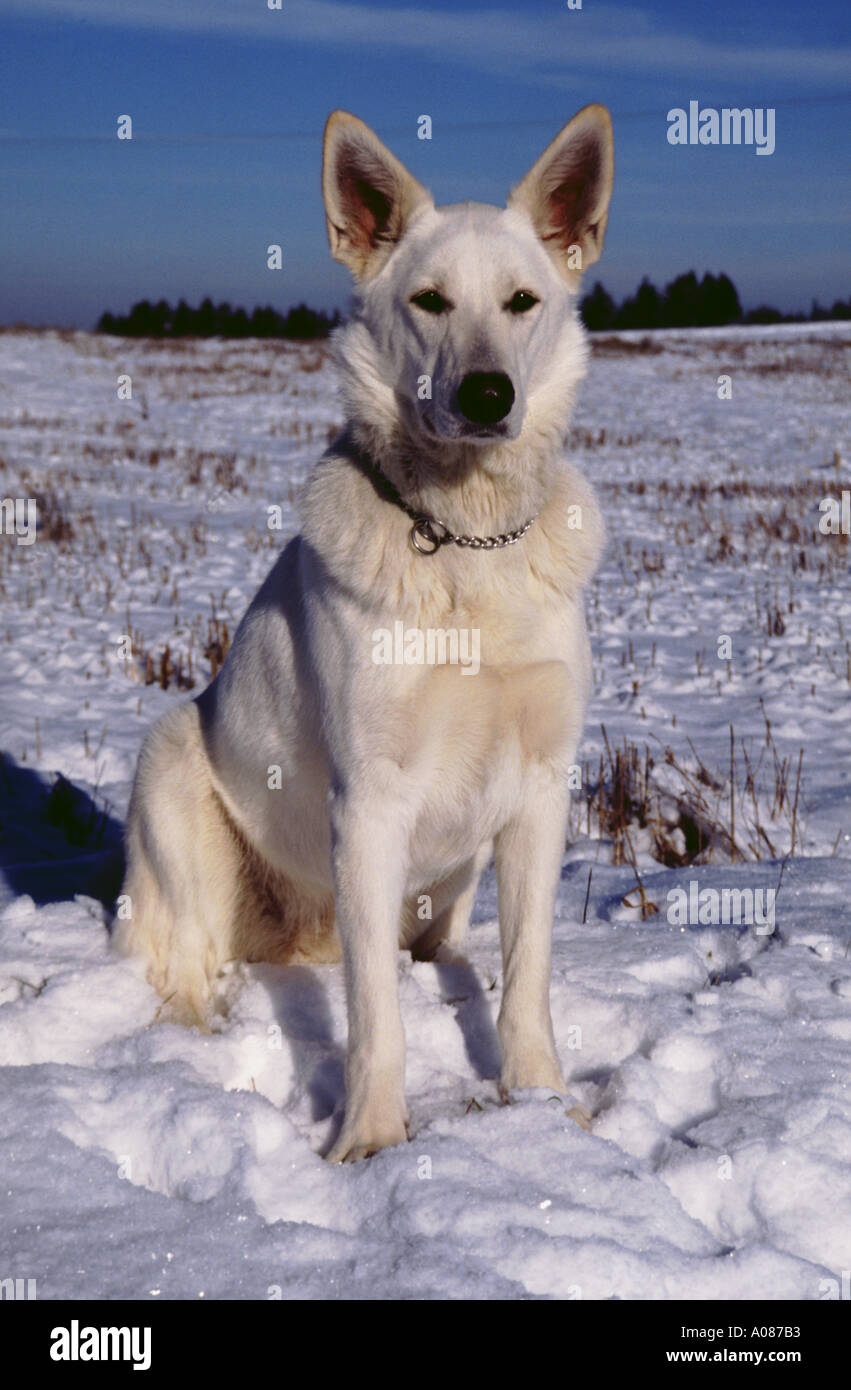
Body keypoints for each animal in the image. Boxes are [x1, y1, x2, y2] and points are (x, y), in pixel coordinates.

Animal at [116, 102, 614, 1156]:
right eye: (429, 301)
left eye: (521, 302)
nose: (485, 394)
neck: (465, 540)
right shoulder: (371, 802)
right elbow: (376, 1012)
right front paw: (371, 1140)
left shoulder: (539, 788)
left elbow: (527, 979)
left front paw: (543, 1104)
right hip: (171, 758)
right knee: (186, 967)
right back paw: (193, 1041)